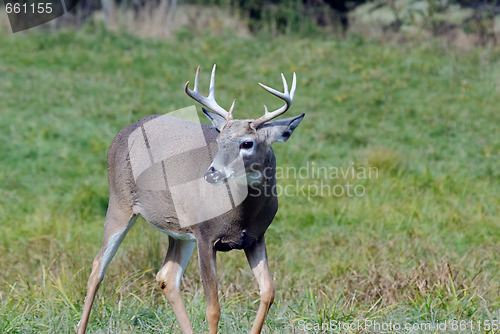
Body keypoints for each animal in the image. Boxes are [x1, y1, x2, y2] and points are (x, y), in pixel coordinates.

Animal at [77, 65, 304, 334]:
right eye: (218, 140)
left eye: (247, 143)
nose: (211, 172)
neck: (241, 215)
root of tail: (121, 133)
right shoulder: (205, 234)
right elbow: (213, 308)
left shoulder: (256, 237)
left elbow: (268, 291)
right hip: (119, 202)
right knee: (97, 267)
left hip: (179, 230)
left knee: (166, 276)